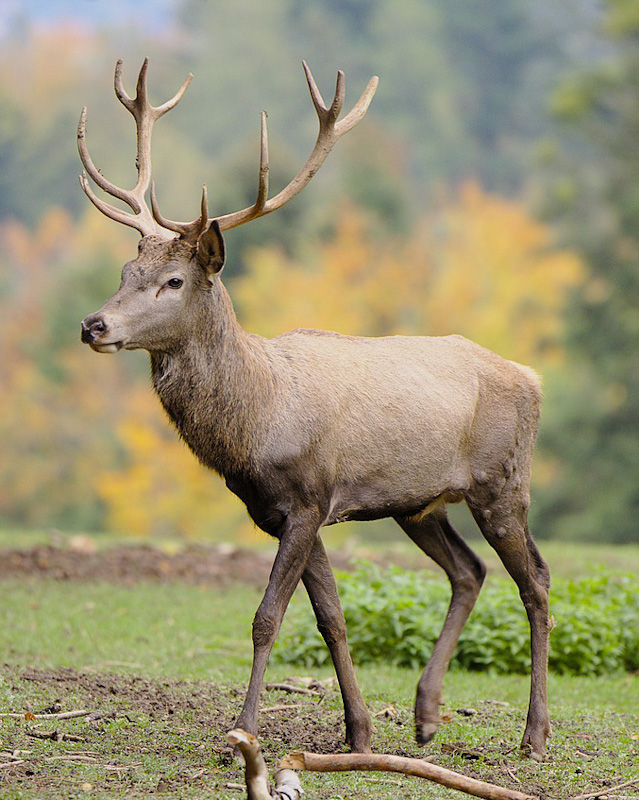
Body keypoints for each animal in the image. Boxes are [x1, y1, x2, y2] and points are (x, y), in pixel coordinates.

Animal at [77, 59, 552, 760]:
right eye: (123, 272)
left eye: (174, 281)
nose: (93, 324)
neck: (256, 421)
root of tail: (532, 377)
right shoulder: (288, 512)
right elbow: (331, 617)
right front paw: (358, 732)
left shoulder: (307, 497)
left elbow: (266, 617)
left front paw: (244, 729)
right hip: (418, 503)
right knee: (469, 572)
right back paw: (426, 715)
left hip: (503, 481)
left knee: (536, 581)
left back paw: (534, 734)